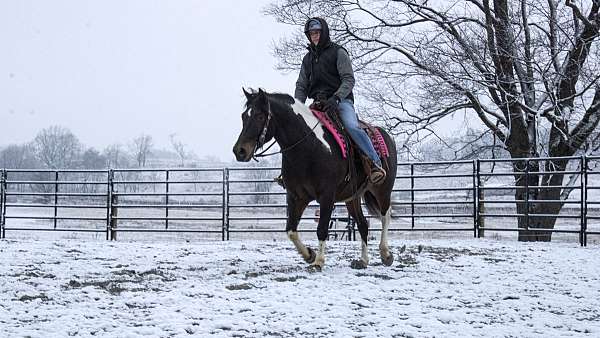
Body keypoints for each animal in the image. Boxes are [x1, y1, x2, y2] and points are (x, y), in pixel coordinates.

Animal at [232, 88, 396, 270]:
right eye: (244, 116)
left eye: (260, 116)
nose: (239, 151)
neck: (308, 147)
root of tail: (385, 136)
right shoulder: (296, 197)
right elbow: (291, 230)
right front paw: (309, 255)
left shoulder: (327, 196)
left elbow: (322, 228)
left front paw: (318, 261)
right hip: (352, 198)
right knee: (363, 224)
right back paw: (363, 260)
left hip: (382, 190)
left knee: (385, 215)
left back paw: (385, 254)